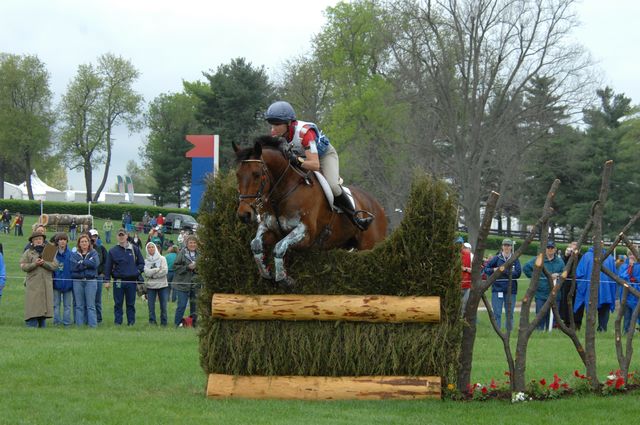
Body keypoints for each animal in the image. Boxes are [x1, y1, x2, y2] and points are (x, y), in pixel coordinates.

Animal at [234, 134, 388, 284]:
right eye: (237, 174)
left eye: (256, 174)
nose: (244, 215)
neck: (284, 190)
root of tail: (379, 207)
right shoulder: (271, 228)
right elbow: (256, 244)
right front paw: (266, 272)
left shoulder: (306, 235)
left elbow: (279, 247)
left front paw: (284, 278)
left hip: (369, 245)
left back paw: (362, 221)